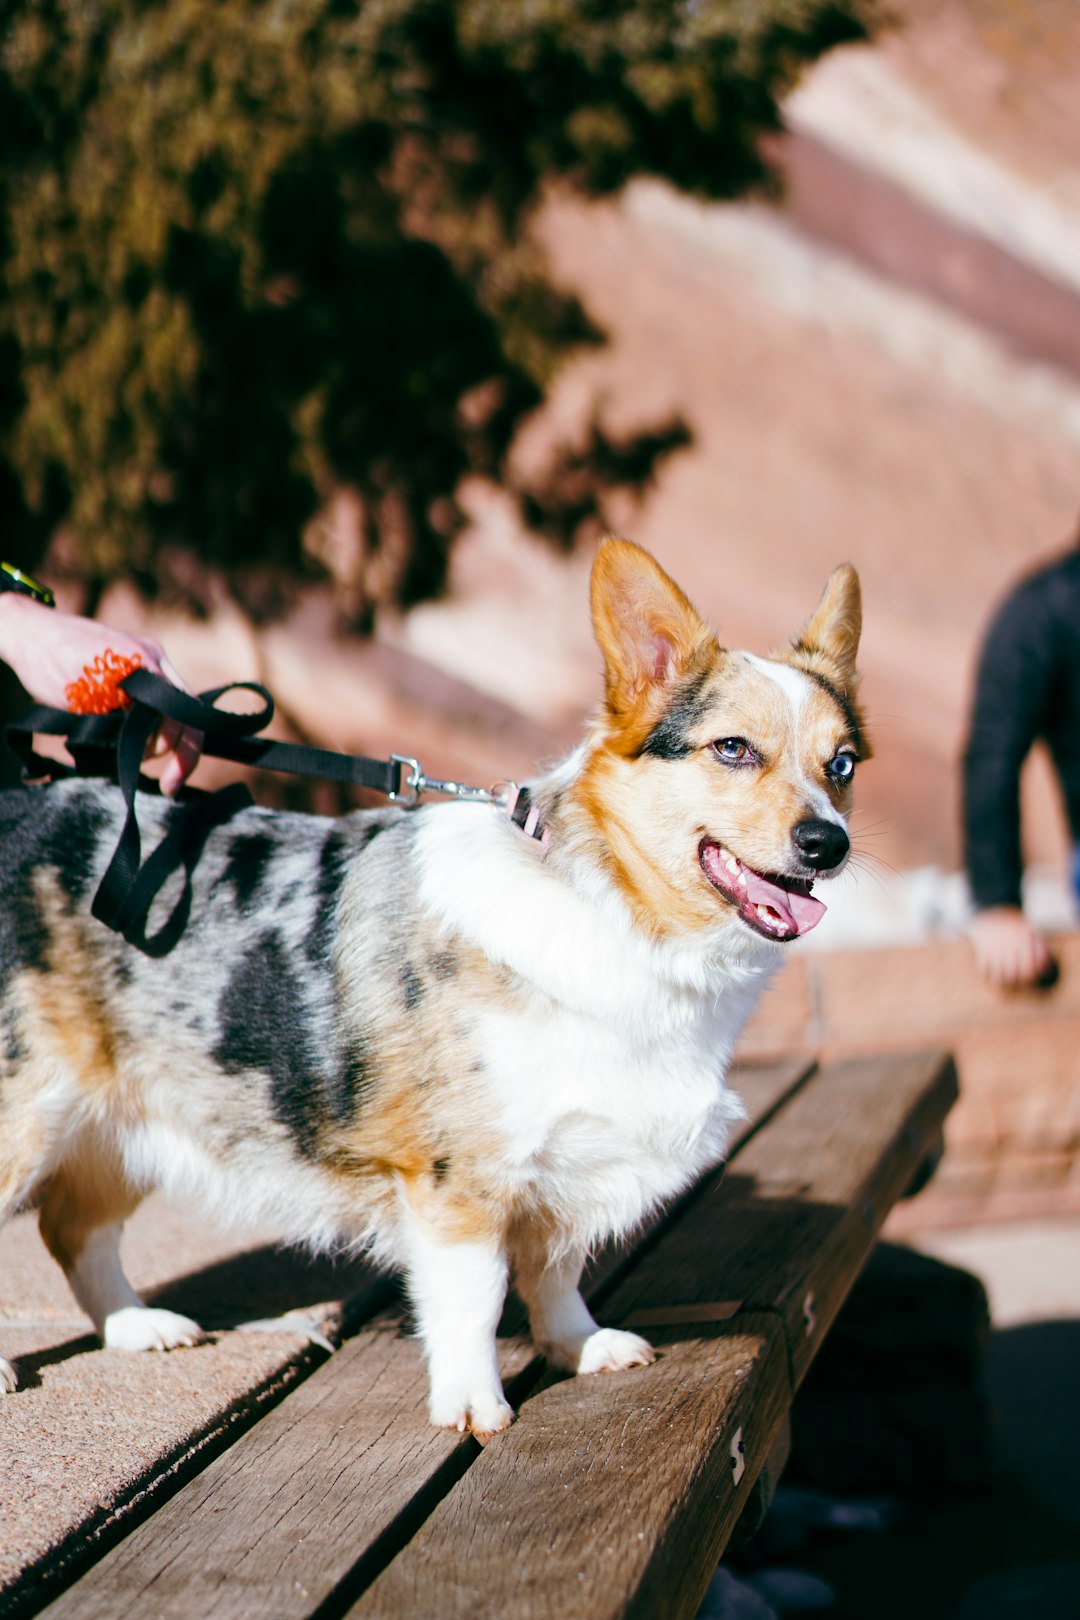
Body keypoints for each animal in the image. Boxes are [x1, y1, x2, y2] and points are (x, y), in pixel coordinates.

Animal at [0, 537, 867, 1438]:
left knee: (73, 1229)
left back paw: (134, 1326)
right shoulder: (460, 1180)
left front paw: (578, 1345)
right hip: (25, 1118)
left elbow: (558, 1268)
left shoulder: (563, 1157)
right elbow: (474, 1299)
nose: (829, 844)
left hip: (126, 1116)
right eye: (732, 749)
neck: (620, 911)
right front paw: (475, 1404)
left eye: (842, 765)